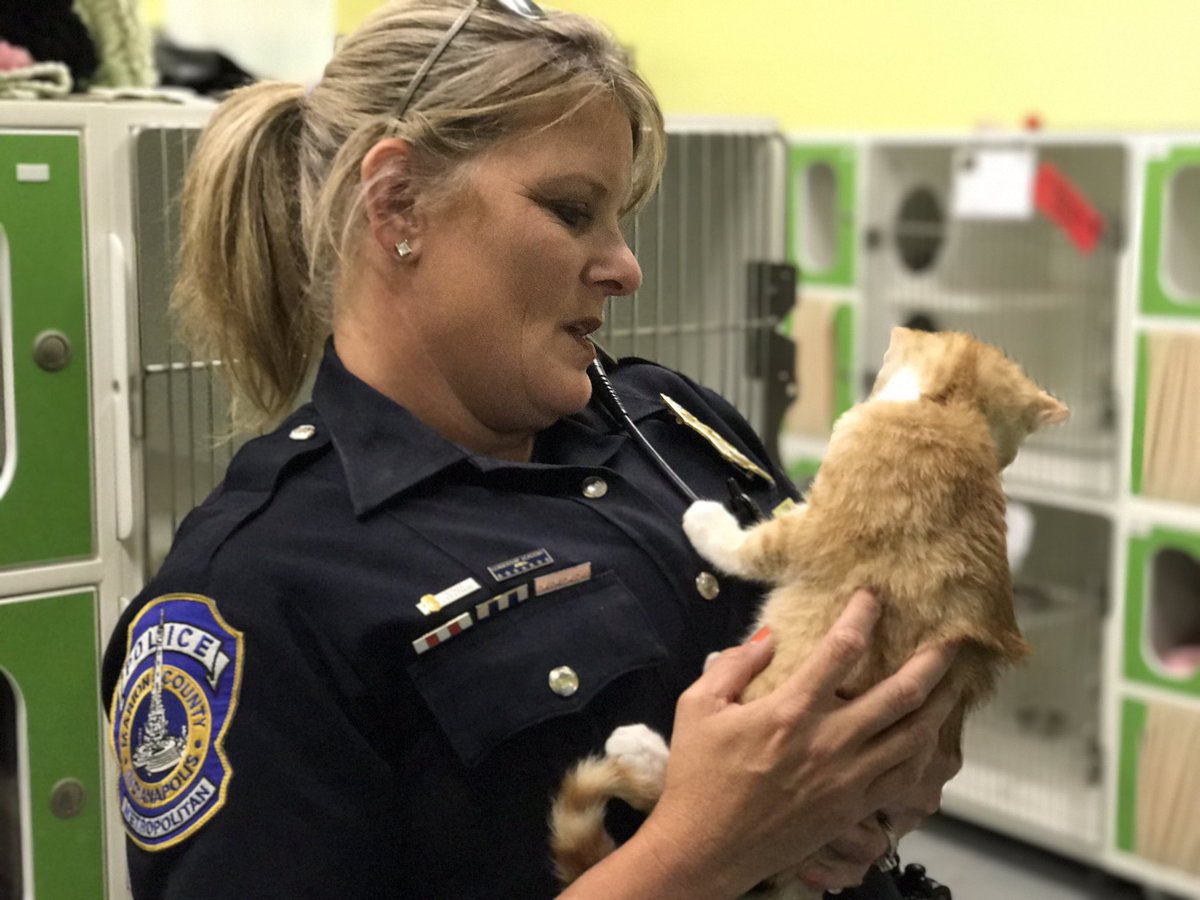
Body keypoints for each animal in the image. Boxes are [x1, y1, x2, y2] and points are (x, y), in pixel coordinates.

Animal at [549, 326, 1069, 896]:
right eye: (1012, 450)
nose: (1006, 465)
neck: (948, 410)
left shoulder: (820, 529)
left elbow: (758, 545)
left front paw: (707, 522)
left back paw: (643, 744)